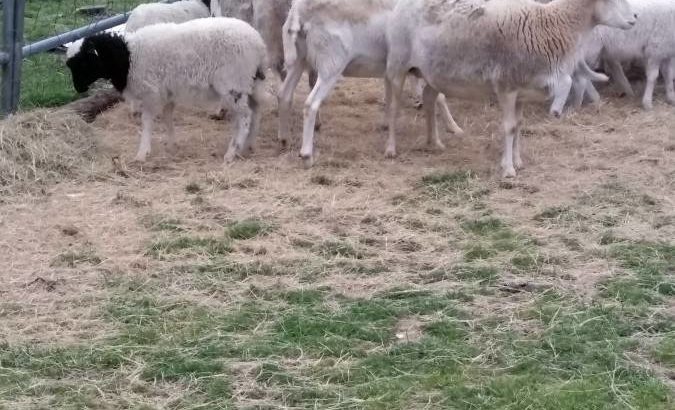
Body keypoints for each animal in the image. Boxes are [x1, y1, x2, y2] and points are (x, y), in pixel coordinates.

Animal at [65, 17, 268, 163]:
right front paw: (171, 145)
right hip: (251, 83)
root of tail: (259, 44)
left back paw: (232, 152)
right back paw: (249, 146)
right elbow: (167, 119)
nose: (78, 88)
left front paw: (142, 153)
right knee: (257, 110)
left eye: (83, 63)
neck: (128, 56)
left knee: (245, 117)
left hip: (233, 85)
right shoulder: (167, 93)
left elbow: (147, 123)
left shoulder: (151, 94)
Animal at [280, 0, 464, 168]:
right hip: (331, 65)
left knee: (284, 95)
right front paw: (455, 128)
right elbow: (440, 97)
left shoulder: (392, 70)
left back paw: (284, 139)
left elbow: (390, 98)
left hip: (299, 60)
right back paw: (307, 156)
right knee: (310, 104)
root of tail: (299, 11)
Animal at [385, 0, 636, 178]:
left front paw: (517, 161)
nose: (635, 17)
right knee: (394, 107)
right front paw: (508, 169)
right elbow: (508, 127)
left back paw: (434, 142)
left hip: (433, 73)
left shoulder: (522, 92)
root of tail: (401, 5)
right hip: (398, 64)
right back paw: (391, 148)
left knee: (429, 97)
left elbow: (518, 126)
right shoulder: (506, 87)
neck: (553, 25)